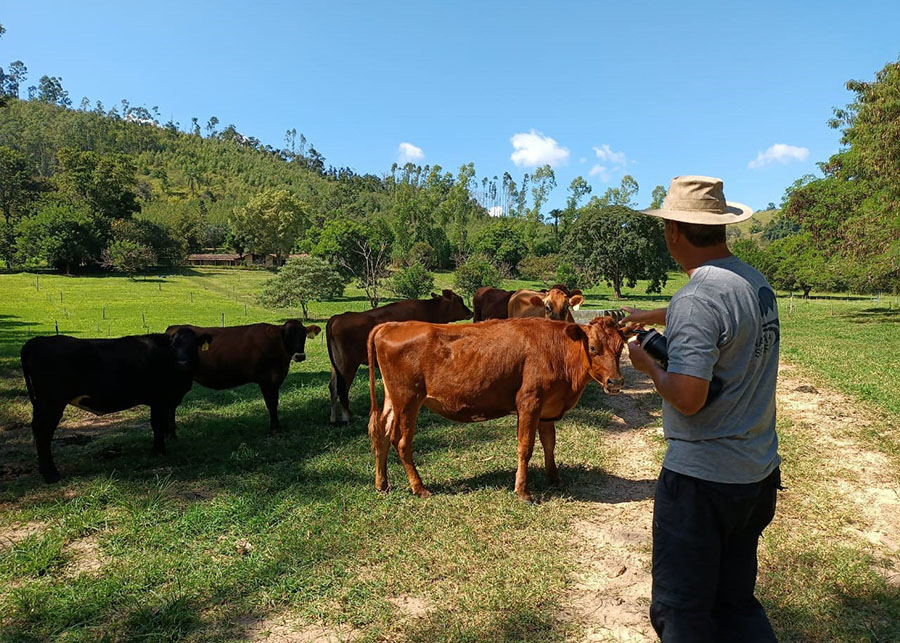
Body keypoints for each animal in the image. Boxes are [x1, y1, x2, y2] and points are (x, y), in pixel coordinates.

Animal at [21, 328, 213, 484]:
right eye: (173, 345)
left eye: (193, 345)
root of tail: (38, 340)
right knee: (43, 432)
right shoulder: (158, 399)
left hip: (42, 403)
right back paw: (50, 474)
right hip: (52, 402)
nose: (183, 362)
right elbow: (157, 425)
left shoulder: (163, 401)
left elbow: (164, 423)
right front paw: (159, 451)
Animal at [165, 320, 320, 436]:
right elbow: (271, 403)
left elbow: (275, 402)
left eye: (304, 335)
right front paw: (275, 429)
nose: (300, 356)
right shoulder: (266, 379)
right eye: (287, 335)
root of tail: (172, 328)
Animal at [328, 290, 472, 422]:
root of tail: (337, 317)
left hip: (337, 365)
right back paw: (348, 417)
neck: (430, 310)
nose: (471, 312)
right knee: (342, 388)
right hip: (348, 364)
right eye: (460, 300)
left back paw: (334, 418)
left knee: (333, 387)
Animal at [366, 316, 624, 504]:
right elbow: (525, 448)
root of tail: (391, 325)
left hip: (393, 400)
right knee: (401, 442)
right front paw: (522, 491)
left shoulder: (548, 408)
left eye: (621, 347)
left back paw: (382, 484)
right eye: (593, 347)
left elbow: (549, 444)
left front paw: (554, 478)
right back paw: (419, 488)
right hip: (408, 400)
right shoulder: (529, 402)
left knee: (382, 436)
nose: (616, 382)